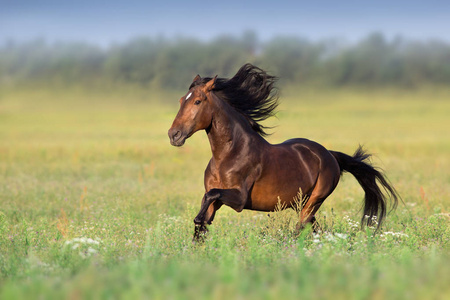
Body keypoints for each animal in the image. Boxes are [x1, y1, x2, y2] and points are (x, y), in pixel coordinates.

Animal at [168, 63, 398, 241]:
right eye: (180, 100)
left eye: (197, 101)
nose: (174, 135)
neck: (228, 155)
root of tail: (330, 155)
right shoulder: (217, 201)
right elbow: (202, 225)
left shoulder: (239, 199)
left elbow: (210, 196)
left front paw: (198, 218)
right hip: (300, 204)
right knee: (315, 229)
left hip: (313, 201)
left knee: (301, 229)